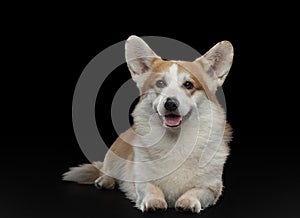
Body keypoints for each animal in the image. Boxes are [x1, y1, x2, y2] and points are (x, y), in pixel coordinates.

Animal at [63, 35, 234, 213]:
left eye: (188, 85)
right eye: (160, 84)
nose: (170, 103)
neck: (175, 140)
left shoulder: (212, 188)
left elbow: (197, 190)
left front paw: (187, 201)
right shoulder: (141, 181)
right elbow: (151, 188)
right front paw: (154, 202)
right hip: (113, 157)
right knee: (107, 170)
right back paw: (105, 180)